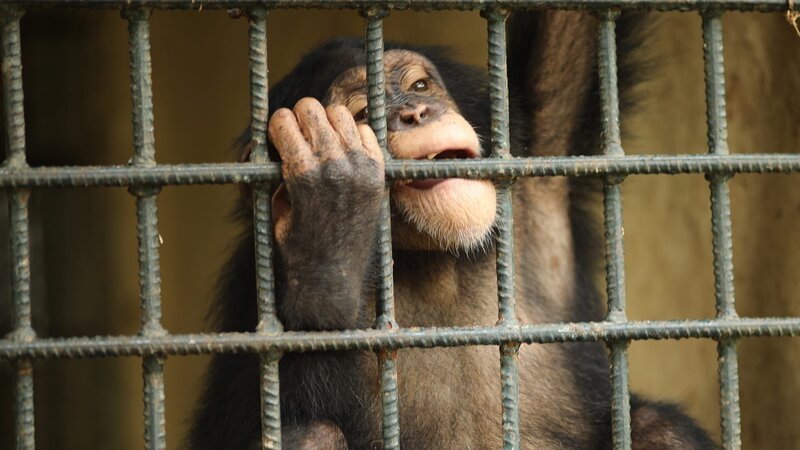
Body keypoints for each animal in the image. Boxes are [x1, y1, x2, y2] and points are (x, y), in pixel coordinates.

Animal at [186, 11, 718, 450]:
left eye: (420, 86)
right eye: (363, 114)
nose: (416, 113)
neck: (438, 256)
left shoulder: (541, 149)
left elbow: (575, 32)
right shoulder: (252, 296)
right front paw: (328, 211)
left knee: (658, 428)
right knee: (312, 437)